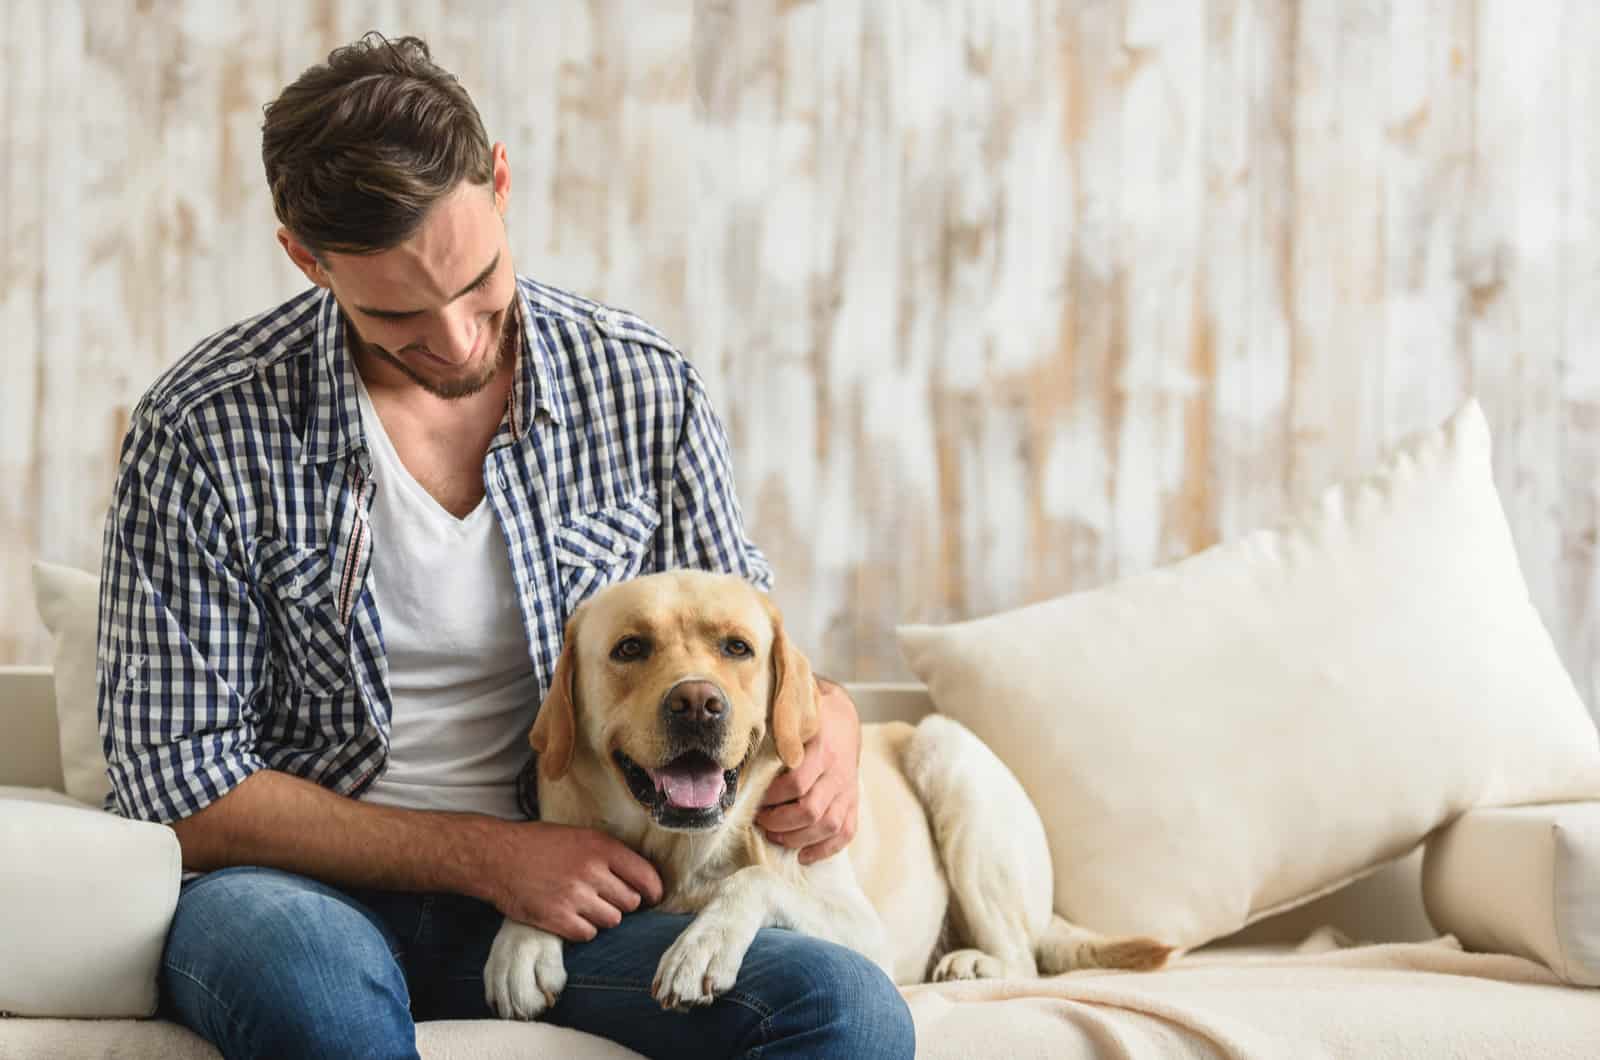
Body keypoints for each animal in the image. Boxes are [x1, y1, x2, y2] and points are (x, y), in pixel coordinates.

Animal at [480, 573, 1171, 1024]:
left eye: (737, 647)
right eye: (630, 648)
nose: (698, 703)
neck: (680, 850)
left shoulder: (867, 933)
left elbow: (755, 881)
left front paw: (700, 946)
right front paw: (522, 942)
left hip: (947, 750)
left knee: (1023, 957)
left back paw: (974, 962)